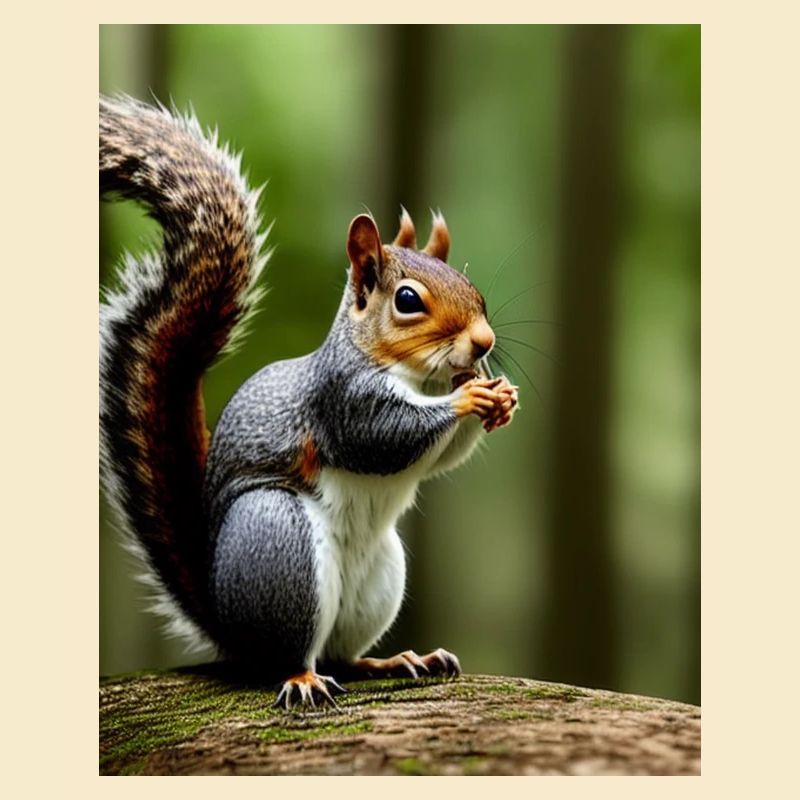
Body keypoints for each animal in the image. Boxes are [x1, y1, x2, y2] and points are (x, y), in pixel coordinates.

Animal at [99, 95, 519, 709]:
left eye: (475, 291)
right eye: (408, 300)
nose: (484, 343)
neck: (419, 378)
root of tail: (225, 623)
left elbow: (440, 457)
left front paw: (501, 396)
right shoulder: (341, 401)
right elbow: (384, 438)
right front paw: (470, 395)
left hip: (380, 577)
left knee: (342, 651)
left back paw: (394, 659)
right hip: (279, 543)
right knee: (288, 653)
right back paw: (302, 679)